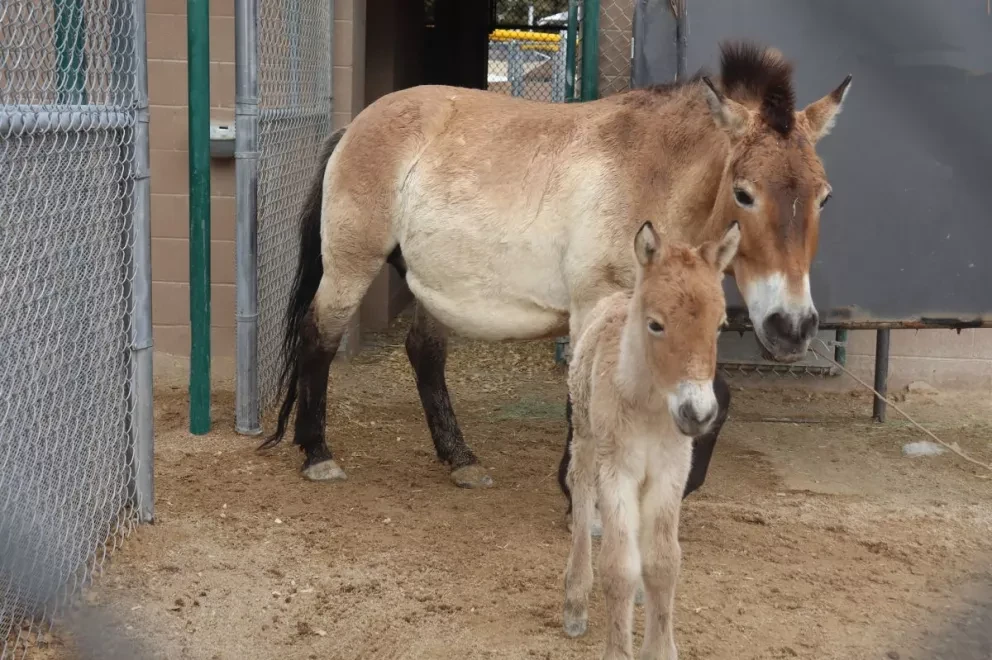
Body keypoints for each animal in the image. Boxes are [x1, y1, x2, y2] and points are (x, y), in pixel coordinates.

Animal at [260, 41, 851, 508]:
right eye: (744, 194)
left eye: (824, 196)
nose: (792, 327)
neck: (649, 177)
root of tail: (353, 126)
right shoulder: (595, 305)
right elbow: (584, 397)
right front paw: (579, 495)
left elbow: (713, 395)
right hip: (350, 267)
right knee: (319, 337)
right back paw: (317, 454)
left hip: (433, 286)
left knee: (424, 354)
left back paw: (461, 459)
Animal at [563, 221, 739, 659]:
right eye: (656, 324)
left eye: (720, 326)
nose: (698, 413)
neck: (645, 406)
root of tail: (614, 296)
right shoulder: (616, 471)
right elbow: (618, 566)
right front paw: (618, 648)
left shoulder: (670, 470)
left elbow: (663, 563)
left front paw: (659, 648)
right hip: (586, 436)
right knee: (581, 493)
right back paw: (575, 600)